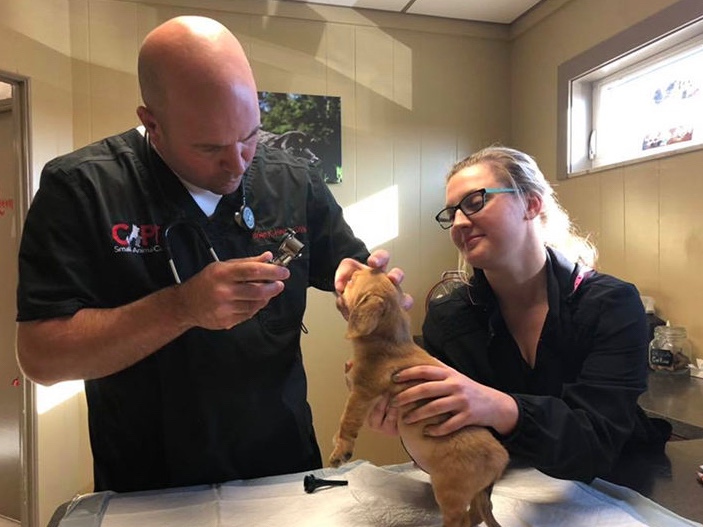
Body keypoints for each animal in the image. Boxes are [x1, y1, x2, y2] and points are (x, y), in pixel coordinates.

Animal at [330, 270, 506, 524]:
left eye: (353, 280)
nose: (343, 275)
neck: (389, 341)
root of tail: (500, 460)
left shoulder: (361, 393)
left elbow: (347, 422)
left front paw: (340, 450)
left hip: (449, 491)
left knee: (460, 520)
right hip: (476, 494)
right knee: (477, 514)